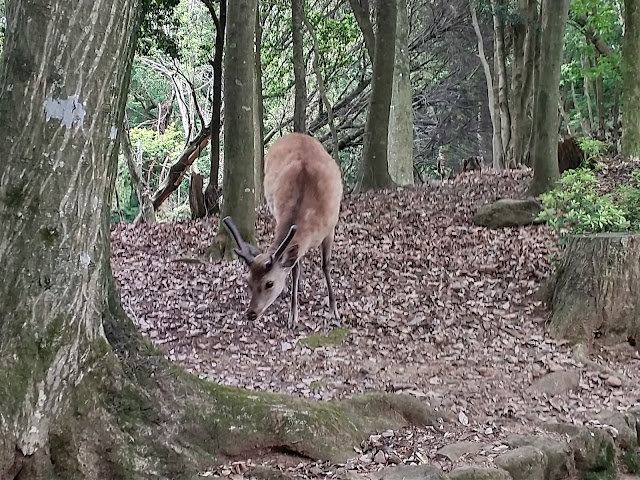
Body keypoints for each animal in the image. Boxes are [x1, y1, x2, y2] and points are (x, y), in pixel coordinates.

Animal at [222, 132, 343, 329]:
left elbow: (325, 266)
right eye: (248, 281)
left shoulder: (330, 228)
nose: (251, 313)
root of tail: (295, 133)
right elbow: (294, 269)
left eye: (269, 283)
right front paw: (293, 316)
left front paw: (334, 310)